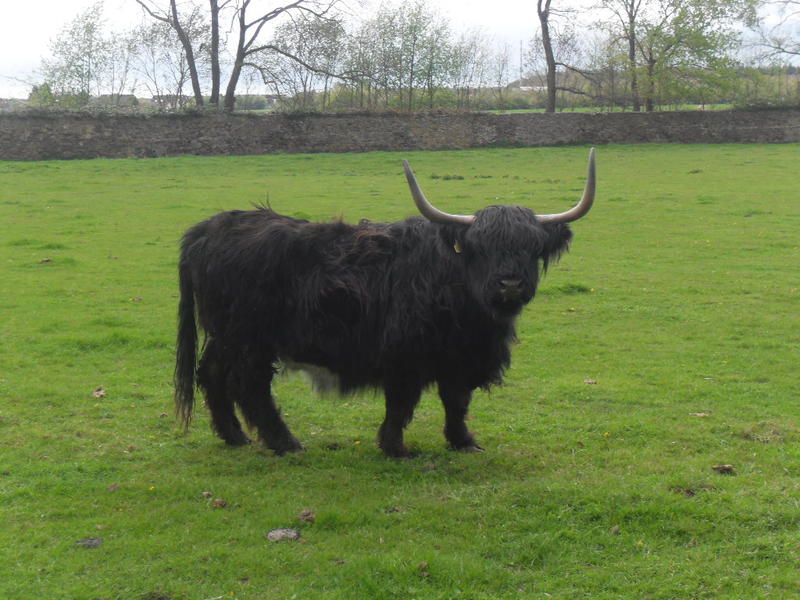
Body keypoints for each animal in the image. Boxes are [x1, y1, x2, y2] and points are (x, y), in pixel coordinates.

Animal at [177, 150, 600, 454]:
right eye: (481, 248)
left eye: (532, 247)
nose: (510, 284)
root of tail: (209, 228)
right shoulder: (404, 353)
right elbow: (401, 403)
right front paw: (396, 448)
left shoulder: (458, 358)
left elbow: (456, 401)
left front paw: (463, 442)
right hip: (249, 340)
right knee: (249, 385)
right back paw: (285, 443)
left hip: (225, 336)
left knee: (212, 373)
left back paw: (235, 437)